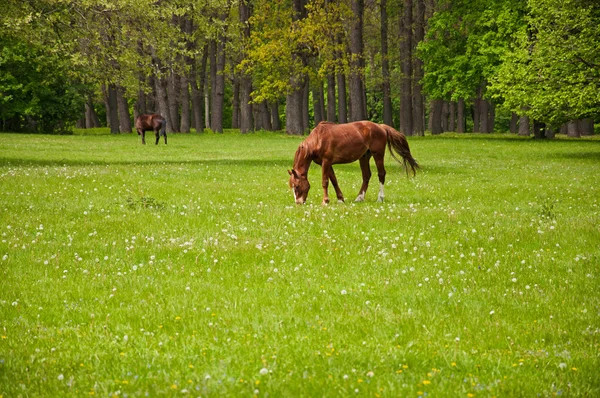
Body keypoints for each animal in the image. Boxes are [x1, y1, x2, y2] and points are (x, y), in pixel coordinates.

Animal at [288, 121, 420, 205]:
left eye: (297, 186)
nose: (298, 202)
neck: (318, 139)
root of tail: (381, 127)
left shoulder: (326, 162)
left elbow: (325, 182)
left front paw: (325, 201)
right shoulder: (326, 164)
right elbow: (334, 180)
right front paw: (340, 199)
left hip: (378, 154)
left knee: (381, 174)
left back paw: (380, 198)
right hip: (364, 157)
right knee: (366, 175)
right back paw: (359, 198)